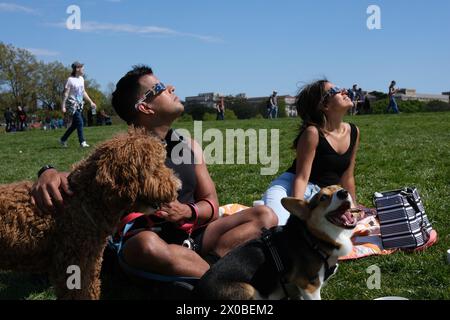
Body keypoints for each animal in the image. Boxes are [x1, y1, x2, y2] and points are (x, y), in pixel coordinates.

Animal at [195, 185, 356, 300]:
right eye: (323, 197)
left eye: (340, 187)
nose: (344, 192)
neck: (312, 238)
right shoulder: (310, 286)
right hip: (249, 290)